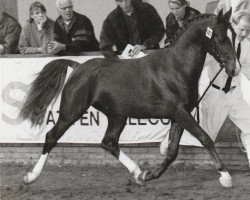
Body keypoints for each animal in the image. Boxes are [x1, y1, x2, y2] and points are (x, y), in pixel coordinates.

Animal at [20, 9, 240, 188]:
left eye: (235, 35)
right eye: (221, 38)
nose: (234, 69)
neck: (176, 67)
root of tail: (78, 66)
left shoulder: (179, 115)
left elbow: (172, 152)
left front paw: (149, 174)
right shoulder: (179, 111)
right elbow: (205, 138)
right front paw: (225, 176)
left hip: (117, 116)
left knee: (108, 142)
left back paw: (137, 172)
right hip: (71, 111)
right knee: (51, 137)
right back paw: (31, 177)